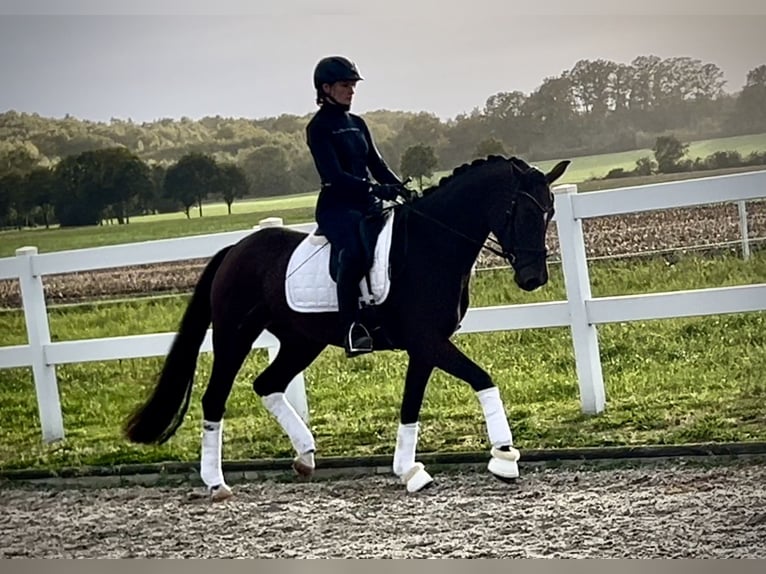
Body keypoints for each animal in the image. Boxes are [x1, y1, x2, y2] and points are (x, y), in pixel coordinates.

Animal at [124, 156, 568, 500]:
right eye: (523, 212)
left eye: (549, 212)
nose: (533, 279)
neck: (432, 243)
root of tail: (234, 250)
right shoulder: (428, 340)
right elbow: (483, 379)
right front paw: (504, 457)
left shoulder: (425, 346)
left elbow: (411, 406)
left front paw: (409, 471)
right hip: (234, 337)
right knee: (214, 399)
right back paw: (217, 484)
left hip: (301, 342)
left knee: (268, 384)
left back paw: (305, 457)